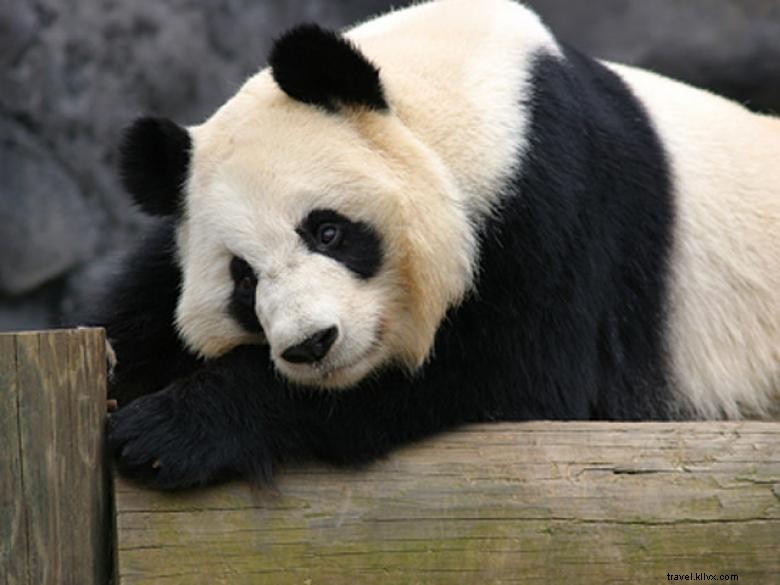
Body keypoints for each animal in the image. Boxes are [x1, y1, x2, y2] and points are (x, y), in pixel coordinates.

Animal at [99, 0, 780, 489]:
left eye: (327, 230)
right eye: (243, 279)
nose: (311, 344)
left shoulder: (556, 195)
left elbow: (511, 374)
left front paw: (165, 433)